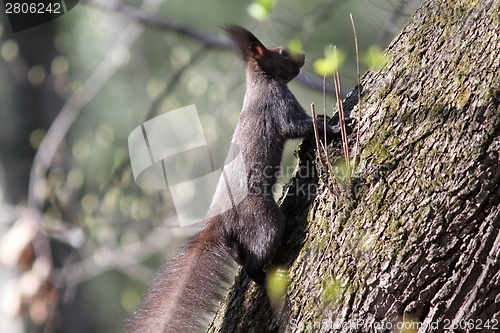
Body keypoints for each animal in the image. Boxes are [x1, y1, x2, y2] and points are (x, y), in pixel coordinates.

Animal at [125, 25, 340, 332]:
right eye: (283, 53)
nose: (303, 56)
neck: (261, 82)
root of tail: (221, 220)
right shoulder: (279, 105)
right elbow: (300, 126)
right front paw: (333, 126)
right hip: (263, 219)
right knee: (252, 263)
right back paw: (265, 276)